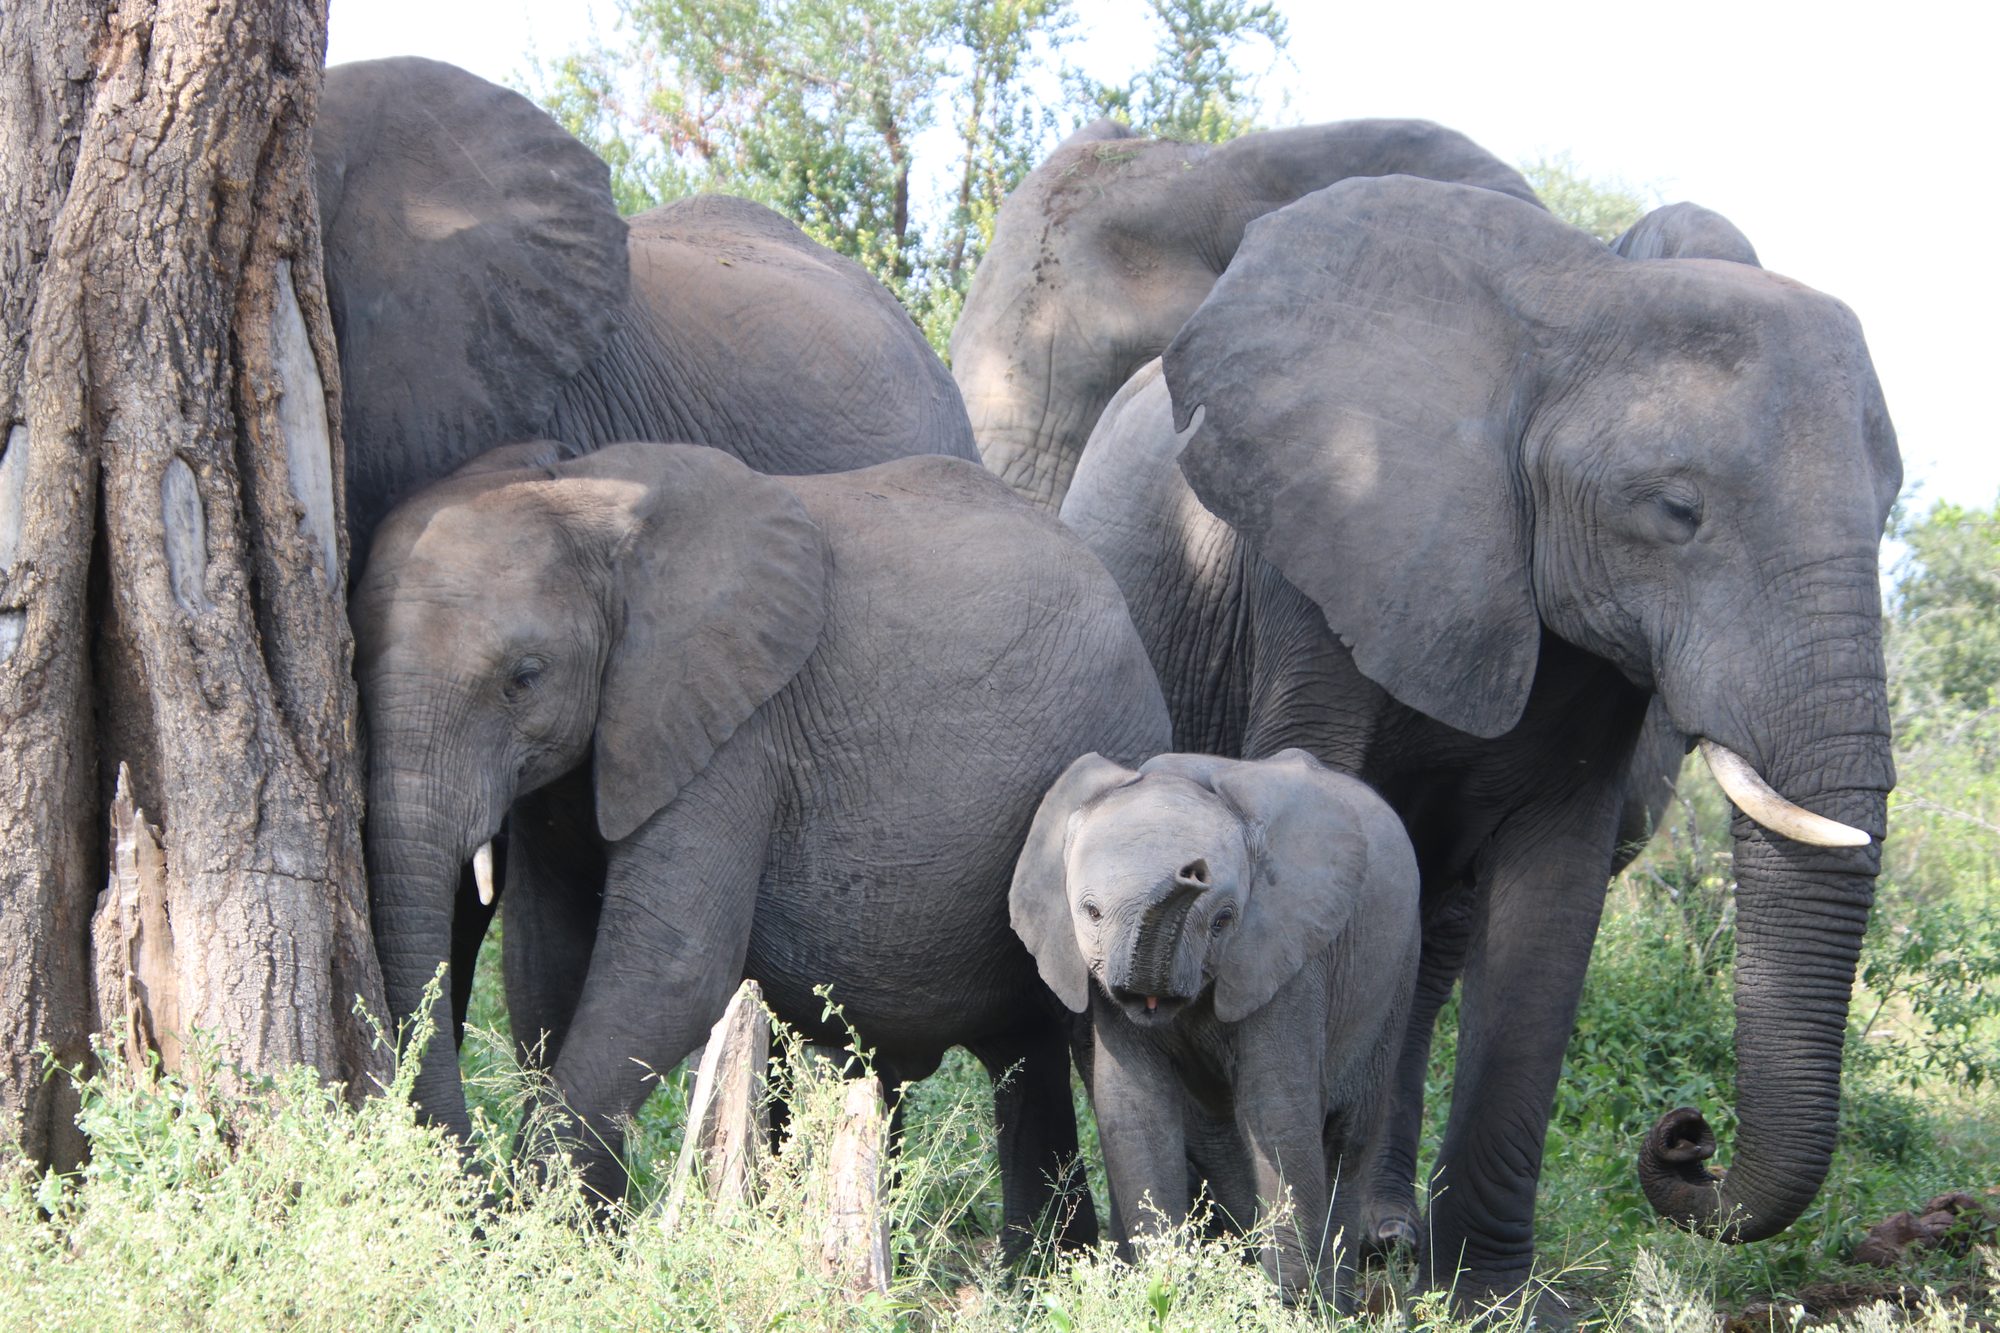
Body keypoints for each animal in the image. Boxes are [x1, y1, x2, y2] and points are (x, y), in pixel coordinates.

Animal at [349, 439, 1172, 1252]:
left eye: (524, 678)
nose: (469, 1200)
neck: (583, 496)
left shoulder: (734, 736)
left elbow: (667, 974)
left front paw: (538, 1236)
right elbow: (544, 968)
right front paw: (576, 1233)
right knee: (1022, 1054)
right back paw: (1046, 1268)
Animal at [1010, 749, 1420, 1308]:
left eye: (1224, 920)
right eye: (1090, 912)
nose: (1193, 870)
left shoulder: (1284, 956)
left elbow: (1278, 1112)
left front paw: (1289, 1307)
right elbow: (1134, 1111)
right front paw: (1167, 1291)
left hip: (1397, 971)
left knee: (1348, 1136)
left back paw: (1334, 1303)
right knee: (1216, 1138)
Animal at [1059, 176, 1899, 1306]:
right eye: (1675, 510)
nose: (1685, 1136)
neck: (1585, 301)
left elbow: (1549, 900)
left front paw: (1497, 1303)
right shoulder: (1320, 556)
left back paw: (1381, 1235)